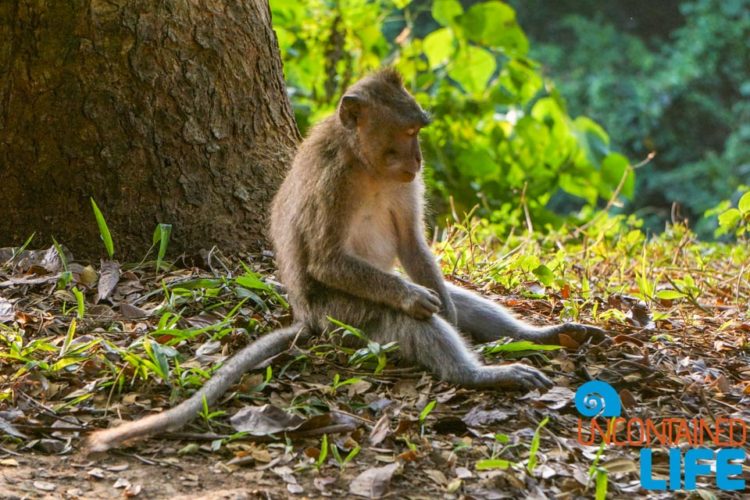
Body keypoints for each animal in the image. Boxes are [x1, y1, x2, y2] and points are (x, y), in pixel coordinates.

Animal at [88, 68, 604, 452]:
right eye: (409, 131)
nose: (419, 160)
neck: (365, 163)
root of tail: (304, 317)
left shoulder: (404, 186)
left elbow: (413, 247)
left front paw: (454, 308)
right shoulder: (332, 183)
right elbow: (326, 261)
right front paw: (416, 300)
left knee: (453, 299)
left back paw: (541, 336)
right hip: (342, 315)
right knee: (408, 317)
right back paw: (475, 373)